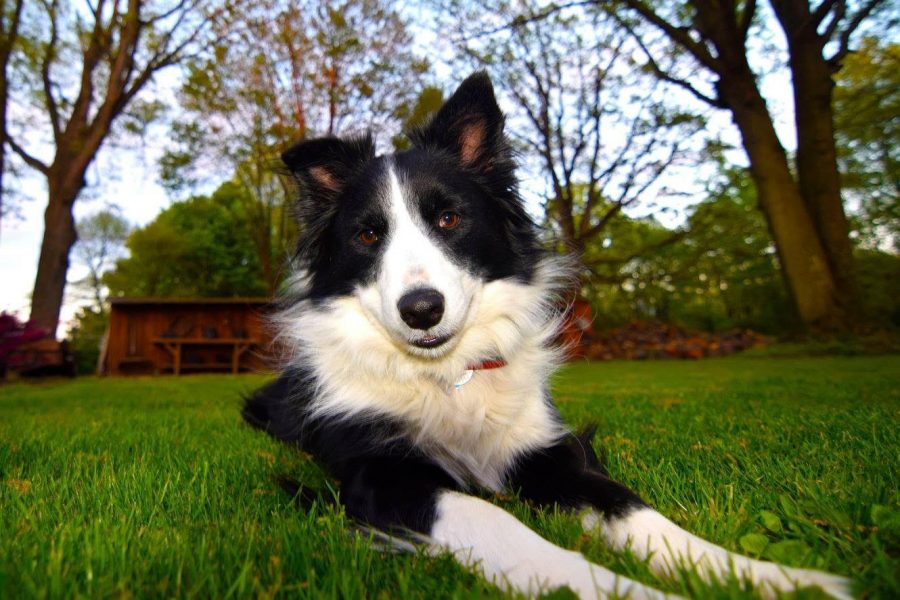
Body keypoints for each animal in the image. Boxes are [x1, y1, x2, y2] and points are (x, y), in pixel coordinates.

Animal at [241, 72, 852, 596]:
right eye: (368, 235)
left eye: (448, 219)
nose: (421, 311)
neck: (451, 376)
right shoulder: (381, 474)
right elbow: (500, 524)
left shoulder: (545, 449)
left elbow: (633, 509)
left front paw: (771, 577)